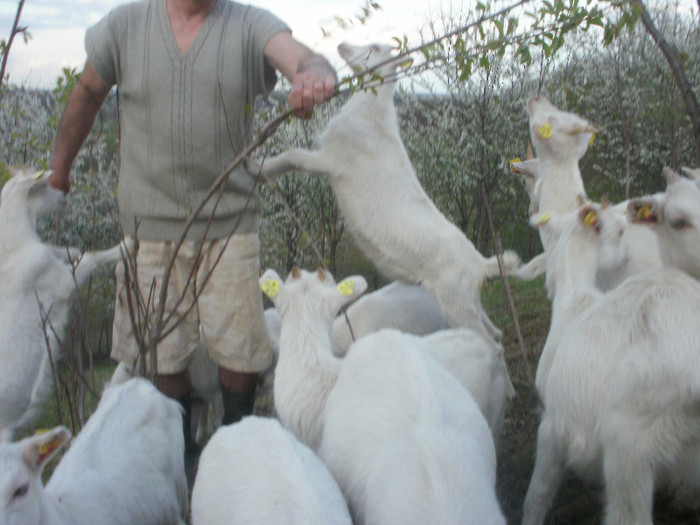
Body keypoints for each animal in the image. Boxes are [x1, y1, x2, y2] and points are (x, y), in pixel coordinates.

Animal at [0, 169, 131, 438]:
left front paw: (72, 250)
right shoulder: (63, 282)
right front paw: (126, 245)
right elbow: (92, 257)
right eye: (43, 185)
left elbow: (76, 253)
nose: (63, 196)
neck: (14, 248)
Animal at [250, 43, 520, 346]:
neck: (371, 113)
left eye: (375, 48)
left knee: (489, 340)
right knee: (496, 333)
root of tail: (481, 265)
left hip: (455, 302)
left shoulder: (330, 160)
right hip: (469, 302)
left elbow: (292, 154)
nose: (343, 46)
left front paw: (258, 167)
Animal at [524, 202, 700, 524]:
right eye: (619, 232)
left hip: (630, 440)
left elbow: (537, 495)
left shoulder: (554, 424)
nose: (628, 254)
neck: (573, 301)